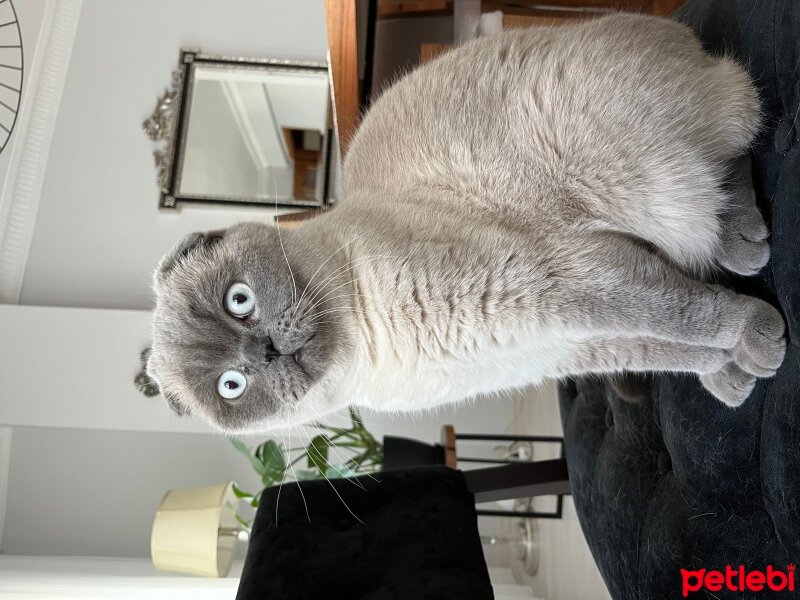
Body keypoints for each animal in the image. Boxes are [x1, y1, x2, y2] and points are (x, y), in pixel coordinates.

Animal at [147, 14, 784, 434]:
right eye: (232, 386)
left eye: (239, 300)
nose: (267, 351)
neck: (372, 352)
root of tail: (671, 29)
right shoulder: (566, 343)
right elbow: (669, 347)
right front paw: (733, 371)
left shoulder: (566, 283)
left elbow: (690, 314)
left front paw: (757, 338)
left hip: (645, 180)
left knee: (735, 132)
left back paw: (744, 244)